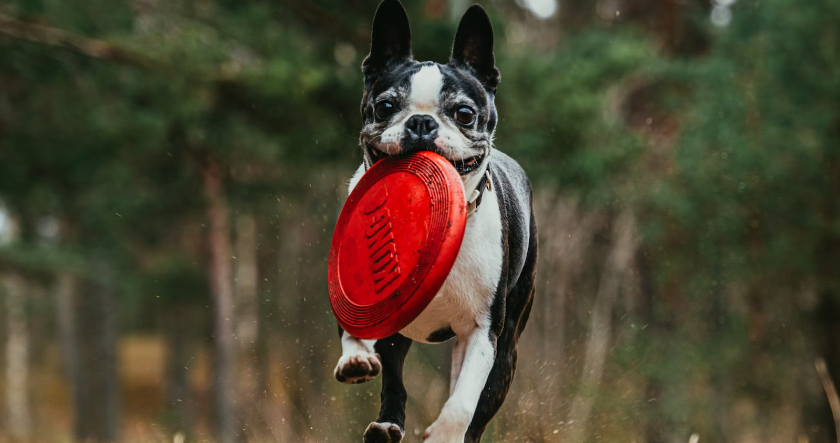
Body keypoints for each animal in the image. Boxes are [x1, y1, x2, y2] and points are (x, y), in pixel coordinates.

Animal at [334, 1, 540, 442]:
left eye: (464, 114)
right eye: (385, 107)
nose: (421, 123)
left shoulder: (483, 332)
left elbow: (463, 401)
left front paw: (444, 433)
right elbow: (351, 324)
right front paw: (355, 357)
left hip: (508, 350)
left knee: (479, 407)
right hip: (399, 334)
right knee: (395, 380)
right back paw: (385, 426)